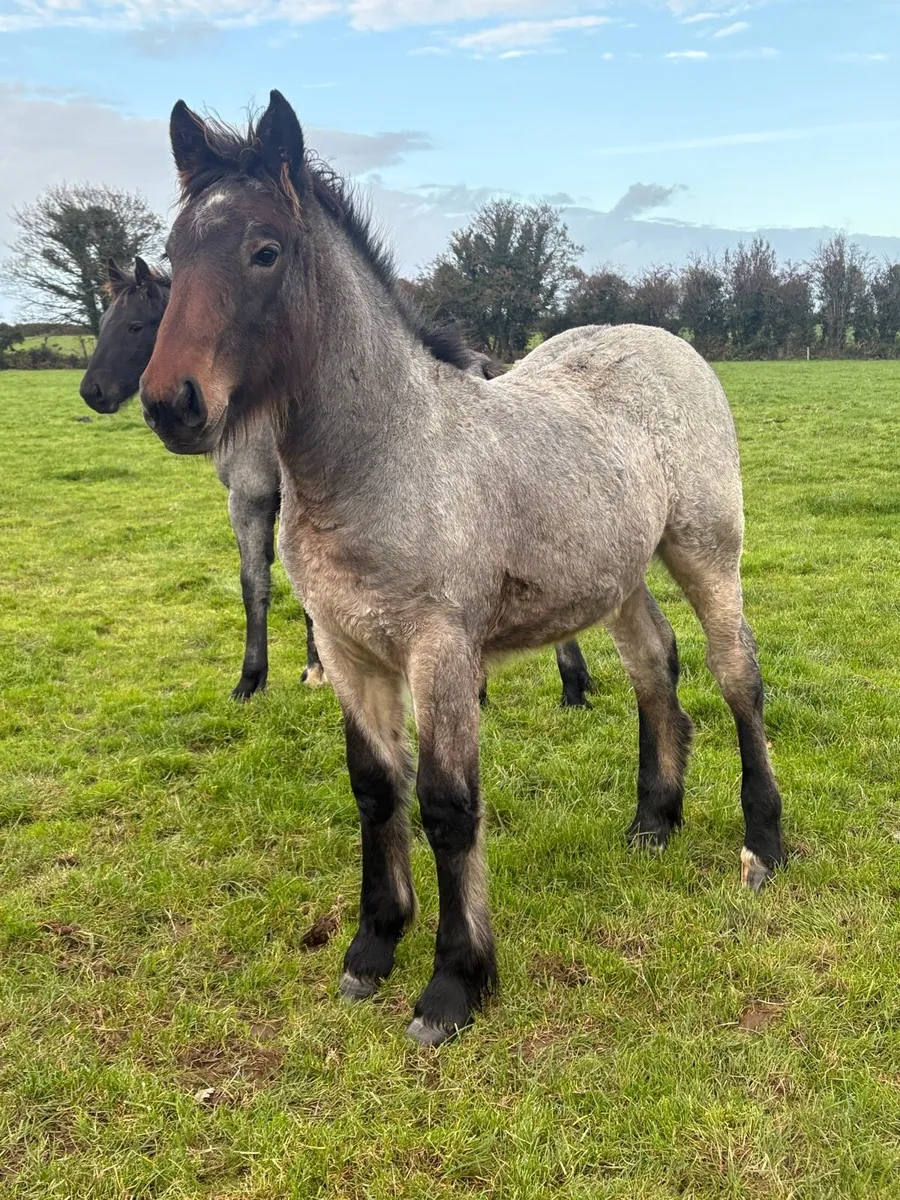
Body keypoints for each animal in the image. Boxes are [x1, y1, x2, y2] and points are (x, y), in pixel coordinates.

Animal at [80, 258, 597, 710]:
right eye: (102, 323)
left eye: (134, 326)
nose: (92, 391)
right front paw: (318, 667)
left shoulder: (248, 495)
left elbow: (255, 582)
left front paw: (255, 679)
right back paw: (572, 683)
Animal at [139, 91, 784, 1045]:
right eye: (175, 254)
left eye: (265, 250)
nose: (170, 402)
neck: (385, 456)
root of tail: (664, 340)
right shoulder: (348, 650)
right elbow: (376, 789)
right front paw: (372, 947)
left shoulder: (440, 651)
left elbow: (448, 805)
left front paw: (454, 983)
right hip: (618, 572)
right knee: (653, 665)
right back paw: (652, 821)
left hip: (707, 547)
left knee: (737, 672)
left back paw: (764, 844)